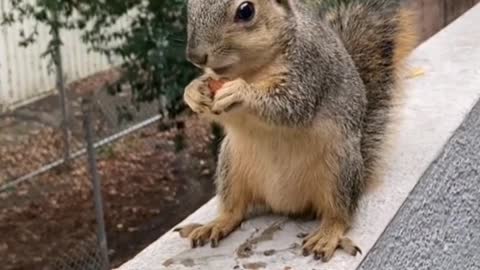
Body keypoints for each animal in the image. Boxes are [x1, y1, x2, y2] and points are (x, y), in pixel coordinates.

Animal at [175, 0, 416, 262]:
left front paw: (241, 92)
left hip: (339, 170)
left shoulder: (309, 70)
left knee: (339, 215)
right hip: (232, 167)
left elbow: (290, 106)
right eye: (190, 6)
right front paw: (193, 91)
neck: (252, 70)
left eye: (246, 11)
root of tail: (288, 204)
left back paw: (327, 236)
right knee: (234, 210)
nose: (195, 56)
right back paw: (216, 224)